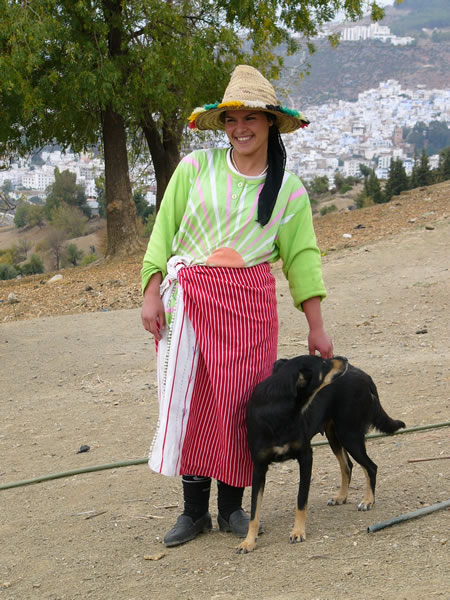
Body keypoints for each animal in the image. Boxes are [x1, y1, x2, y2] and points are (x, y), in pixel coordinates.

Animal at [239, 354, 408, 556]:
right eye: (324, 363)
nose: (344, 358)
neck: (278, 409)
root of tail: (363, 375)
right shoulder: (259, 467)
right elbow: (254, 510)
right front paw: (249, 541)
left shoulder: (306, 457)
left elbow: (301, 500)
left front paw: (298, 532)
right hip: (334, 435)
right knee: (348, 465)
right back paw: (341, 496)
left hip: (349, 434)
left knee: (370, 467)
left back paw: (368, 500)